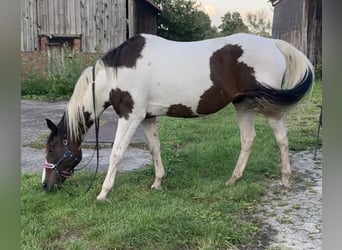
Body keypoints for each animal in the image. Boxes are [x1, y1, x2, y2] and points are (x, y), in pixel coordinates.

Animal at [42, 33, 312, 201]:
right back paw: (233, 180)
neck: (115, 74)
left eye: (52, 149)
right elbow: (154, 148)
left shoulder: (130, 116)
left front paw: (103, 193)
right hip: (243, 105)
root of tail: (274, 44)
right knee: (248, 139)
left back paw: (285, 181)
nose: (45, 185)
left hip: (269, 107)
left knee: (281, 139)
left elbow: (116, 154)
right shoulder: (147, 117)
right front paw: (158, 182)